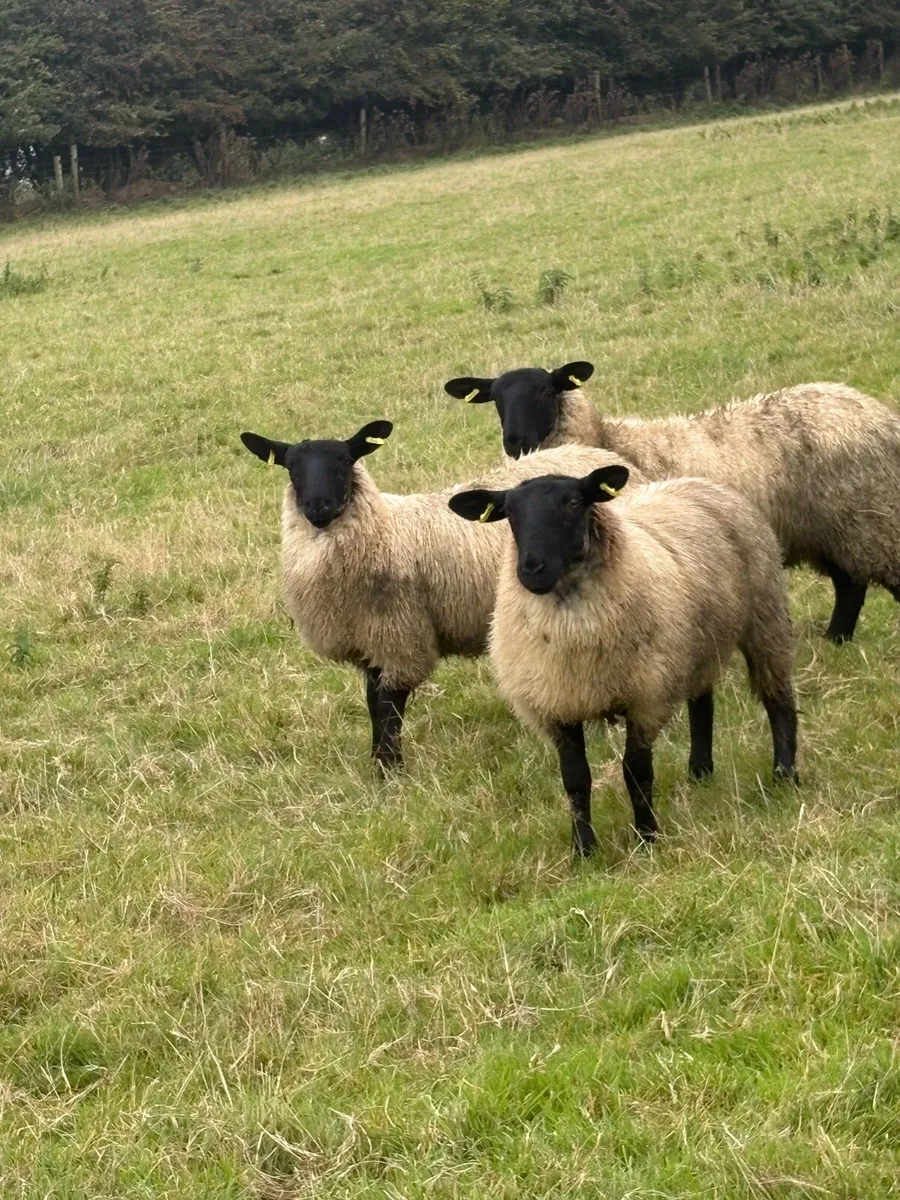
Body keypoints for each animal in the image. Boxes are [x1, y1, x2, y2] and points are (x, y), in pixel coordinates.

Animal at [241, 420, 646, 772]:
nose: (318, 506)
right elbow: (372, 703)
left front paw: (390, 771)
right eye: (292, 468)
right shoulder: (369, 642)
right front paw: (377, 761)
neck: (383, 530)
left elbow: (388, 708)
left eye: (344, 462)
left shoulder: (400, 637)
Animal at [445, 363, 900, 644]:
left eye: (545, 390)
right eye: (496, 399)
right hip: (838, 529)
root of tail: (879, 414)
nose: (516, 442)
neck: (607, 438)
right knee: (850, 585)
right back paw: (836, 641)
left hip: (873, 519)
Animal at [449, 465, 799, 855]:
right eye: (510, 513)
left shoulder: (646, 697)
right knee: (702, 703)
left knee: (778, 699)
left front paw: (647, 837)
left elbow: (636, 771)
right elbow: (575, 779)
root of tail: (697, 481)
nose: (531, 570)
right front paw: (584, 850)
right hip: (695, 643)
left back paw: (785, 775)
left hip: (765, 615)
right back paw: (699, 771)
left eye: (574, 502)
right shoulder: (558, 704)